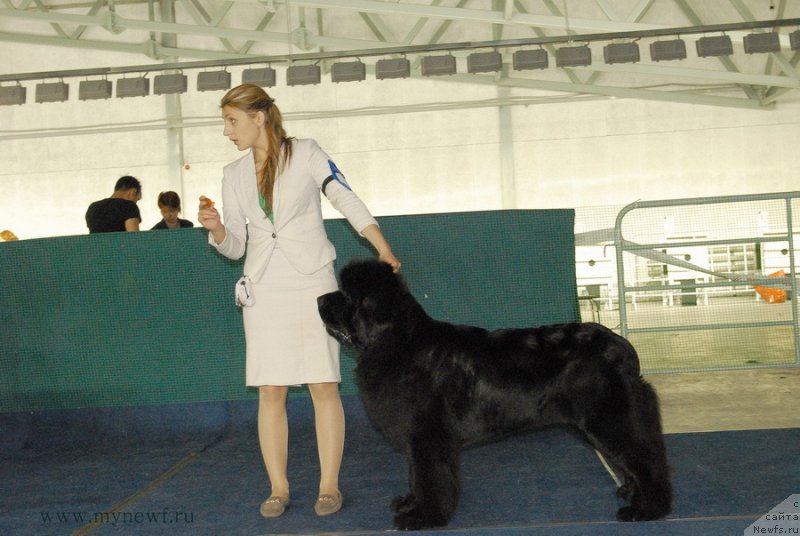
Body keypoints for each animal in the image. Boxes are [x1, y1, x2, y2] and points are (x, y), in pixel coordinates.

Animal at [316, 260, 672, 532]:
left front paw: (423, 517)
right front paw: (410, 503)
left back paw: (648, 508)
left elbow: (429, 478)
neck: (399, 342)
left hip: (608, 419)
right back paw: (631, 492)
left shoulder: (428, 438)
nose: (319, 300)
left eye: (346, 295)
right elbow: (416, 476)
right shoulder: (419, 441)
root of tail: (623, 349)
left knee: (646, 459)